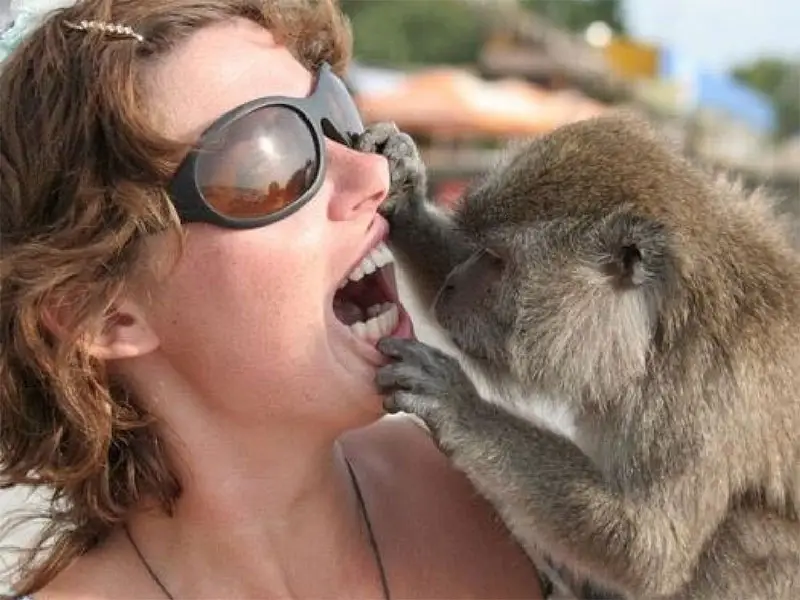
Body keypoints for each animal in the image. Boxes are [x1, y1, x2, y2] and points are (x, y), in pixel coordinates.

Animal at [356, 115, 800, 596]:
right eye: (479, 252)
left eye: (496, 259)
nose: (452, 284)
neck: (661, 327)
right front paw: (403, 193)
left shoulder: (705, 396)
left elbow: (651, 548)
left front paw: (458, 405)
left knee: (743, 533)